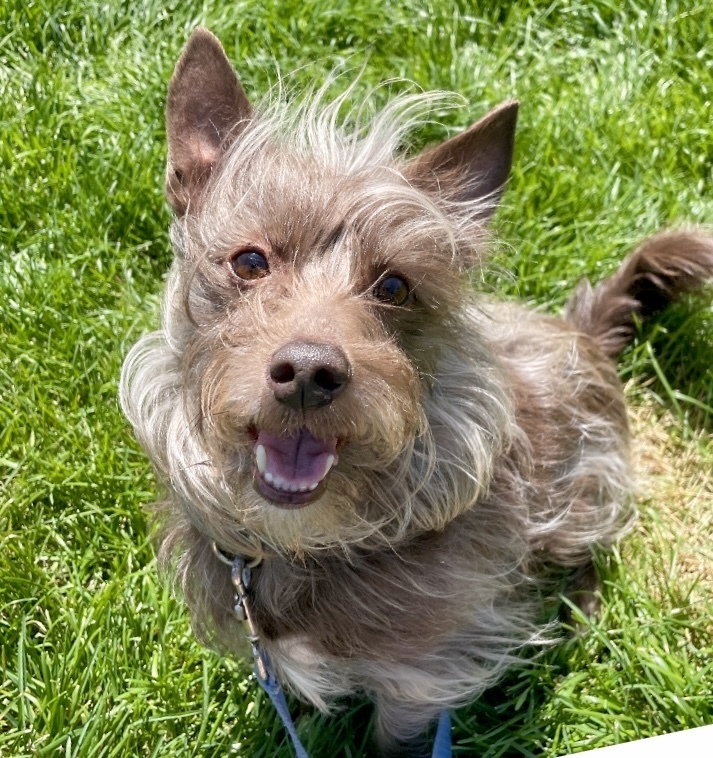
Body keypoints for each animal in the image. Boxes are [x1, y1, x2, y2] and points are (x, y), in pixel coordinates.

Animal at [122, 28, 712, 756]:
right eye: (250, 262)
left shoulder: (424, 678)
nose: (309, 372)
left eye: (394, 286)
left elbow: (392, 736)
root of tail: (583, 333)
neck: (311, 542)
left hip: (586, 488)